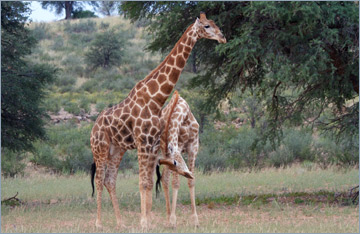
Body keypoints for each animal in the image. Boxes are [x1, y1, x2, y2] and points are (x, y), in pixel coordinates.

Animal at [155, 90, 200, 228]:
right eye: (175, 163)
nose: (188, 174)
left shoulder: (193, 147)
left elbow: (191, 182)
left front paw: (195, 220)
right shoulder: (178, 146)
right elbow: (175, 183)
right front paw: (173, 220)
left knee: (164, 178)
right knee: (165, 179)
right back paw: (169, 218)